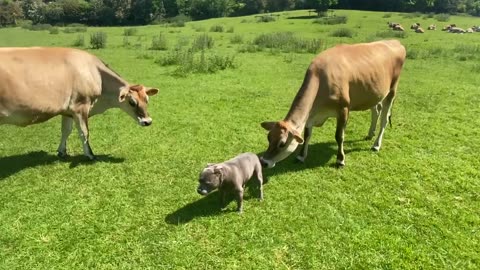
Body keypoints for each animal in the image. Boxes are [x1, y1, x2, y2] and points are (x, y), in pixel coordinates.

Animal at [0, 47, 161, 159]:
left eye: (147, 100)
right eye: (132, 102)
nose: (147, 121)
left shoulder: (67, 110)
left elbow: (66, 131)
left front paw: (62, 151)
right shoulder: (80, 106)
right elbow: (84, 132)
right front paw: (90, 154)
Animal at [260, 39, 406, 169]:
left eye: (282, 143)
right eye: (268, 138)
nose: (263, 162)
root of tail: (395, 42)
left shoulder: (343, 109)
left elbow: (339, 136)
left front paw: (340, 160)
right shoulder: (311, 114)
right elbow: (307, 135)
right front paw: (301, 156)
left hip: (392, 91)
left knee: (384, 119)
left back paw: (376, 144)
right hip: (373, 93)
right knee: (376, 111)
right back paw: (370, 133)